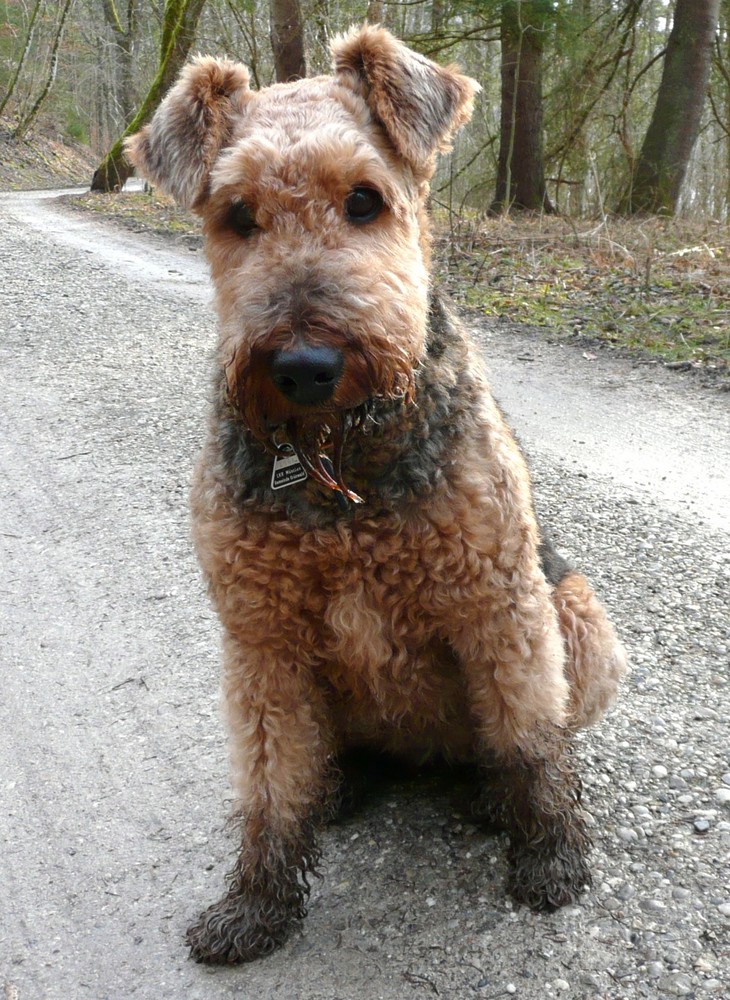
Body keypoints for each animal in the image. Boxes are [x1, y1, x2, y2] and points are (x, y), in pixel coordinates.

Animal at [126, 25, 624, 960]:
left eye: (364, 200)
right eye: (237, 216)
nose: (304, 367)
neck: (338, 463)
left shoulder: (498, 603)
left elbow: (529, 740)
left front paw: (549, 853)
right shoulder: (261, 638)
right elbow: (271, 784)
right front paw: (256, 902)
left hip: (578, 612)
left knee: (520, 734)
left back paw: (490, 797)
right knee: (324, 757)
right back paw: (342, 783)